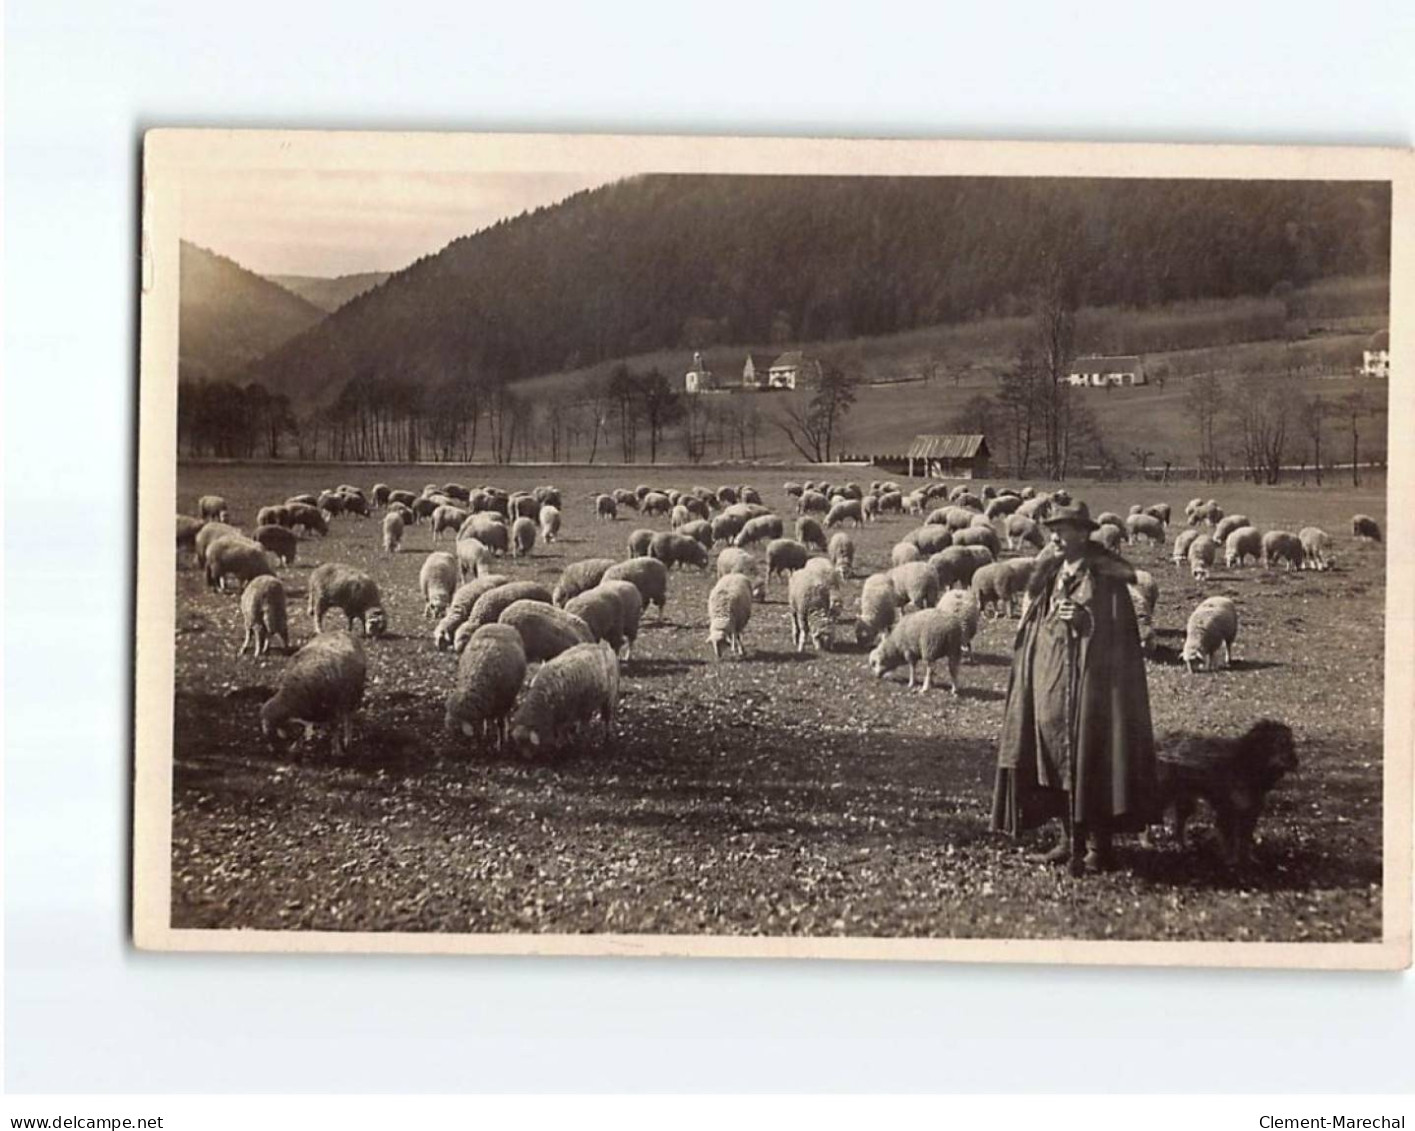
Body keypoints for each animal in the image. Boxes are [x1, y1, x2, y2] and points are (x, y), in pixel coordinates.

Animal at [444, 619, 529, 753]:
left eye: (458, 733)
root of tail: (499, 624)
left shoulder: (502, 704)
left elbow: (500, 724)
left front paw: (501, 744)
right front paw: (486, 732)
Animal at [1148, 721, 1296, 871]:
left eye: (1292, 744)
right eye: (1281, 743)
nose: (1296, 761)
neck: (1247, 762)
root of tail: (1159, 742)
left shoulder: (1251, 811)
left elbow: (1245, 840)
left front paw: (1247, 859)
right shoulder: (1227, 810)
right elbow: (1230, 838)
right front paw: (1231, 860)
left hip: (1185, 802)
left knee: (1179, 825)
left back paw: (1182, 845)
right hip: (1162, 795)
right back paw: (1146, 842)